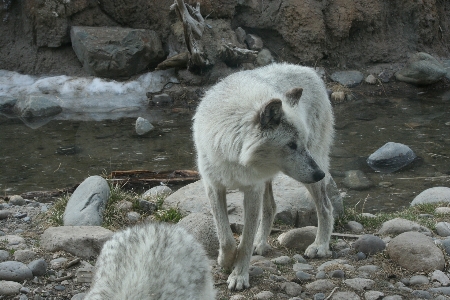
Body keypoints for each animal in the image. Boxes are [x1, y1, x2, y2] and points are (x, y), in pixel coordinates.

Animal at [192, 62, 336, 290]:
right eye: (291, 145)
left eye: (302, 144)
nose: (320, 174)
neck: (235, 152)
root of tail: (308, 69)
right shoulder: (213, 186)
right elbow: (226, 237)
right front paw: (226, 261)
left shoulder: (252, 190)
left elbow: (245, 239)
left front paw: (239, 275)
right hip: (272, 180)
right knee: (271, 207)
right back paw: (261, 243)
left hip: (308, 175)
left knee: (326, 207)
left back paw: (320, 245)